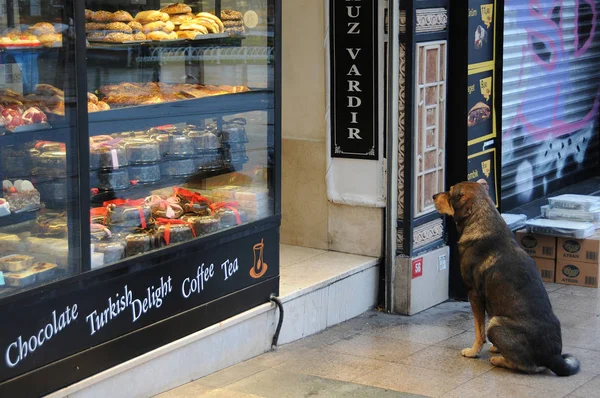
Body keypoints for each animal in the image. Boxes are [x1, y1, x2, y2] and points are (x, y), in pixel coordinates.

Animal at [434, 182, 580, 374]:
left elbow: (479, 330)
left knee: (529, 367)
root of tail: (553, 357)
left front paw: (473, 352)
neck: (482, 218)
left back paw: (498, 360)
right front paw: (496, 347)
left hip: (495, 323)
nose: (433, 196)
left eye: (450, 192)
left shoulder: (474, 294)